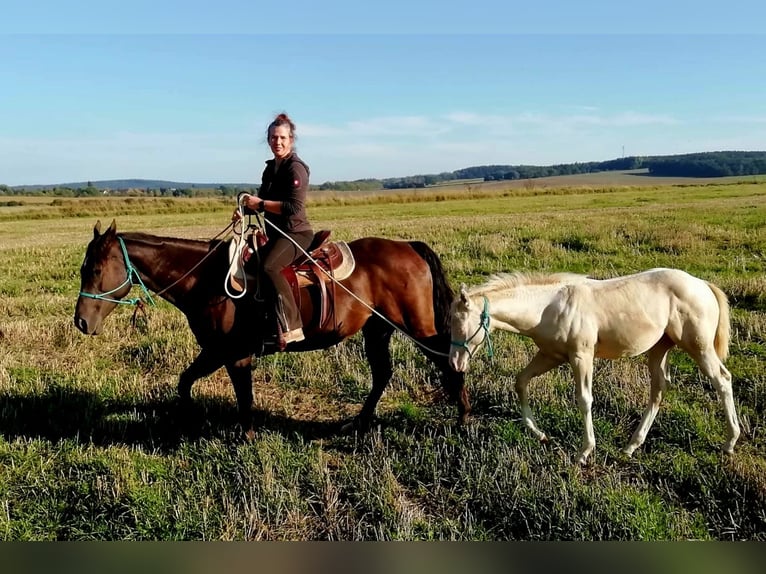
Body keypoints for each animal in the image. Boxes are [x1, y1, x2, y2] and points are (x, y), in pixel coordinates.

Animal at [75, 223, 472, 438]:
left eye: (95, 270)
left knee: (447, 363)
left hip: (417, 327)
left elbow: (244, 396)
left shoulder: (236, 355)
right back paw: (358, 422)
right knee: (382, 373)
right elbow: (185, 382)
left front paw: (247, 434)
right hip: (378, 329)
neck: (207, 279)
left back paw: (463, 418)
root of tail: (409, 247)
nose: (81, 321)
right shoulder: (214, 350)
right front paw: (188, 419)